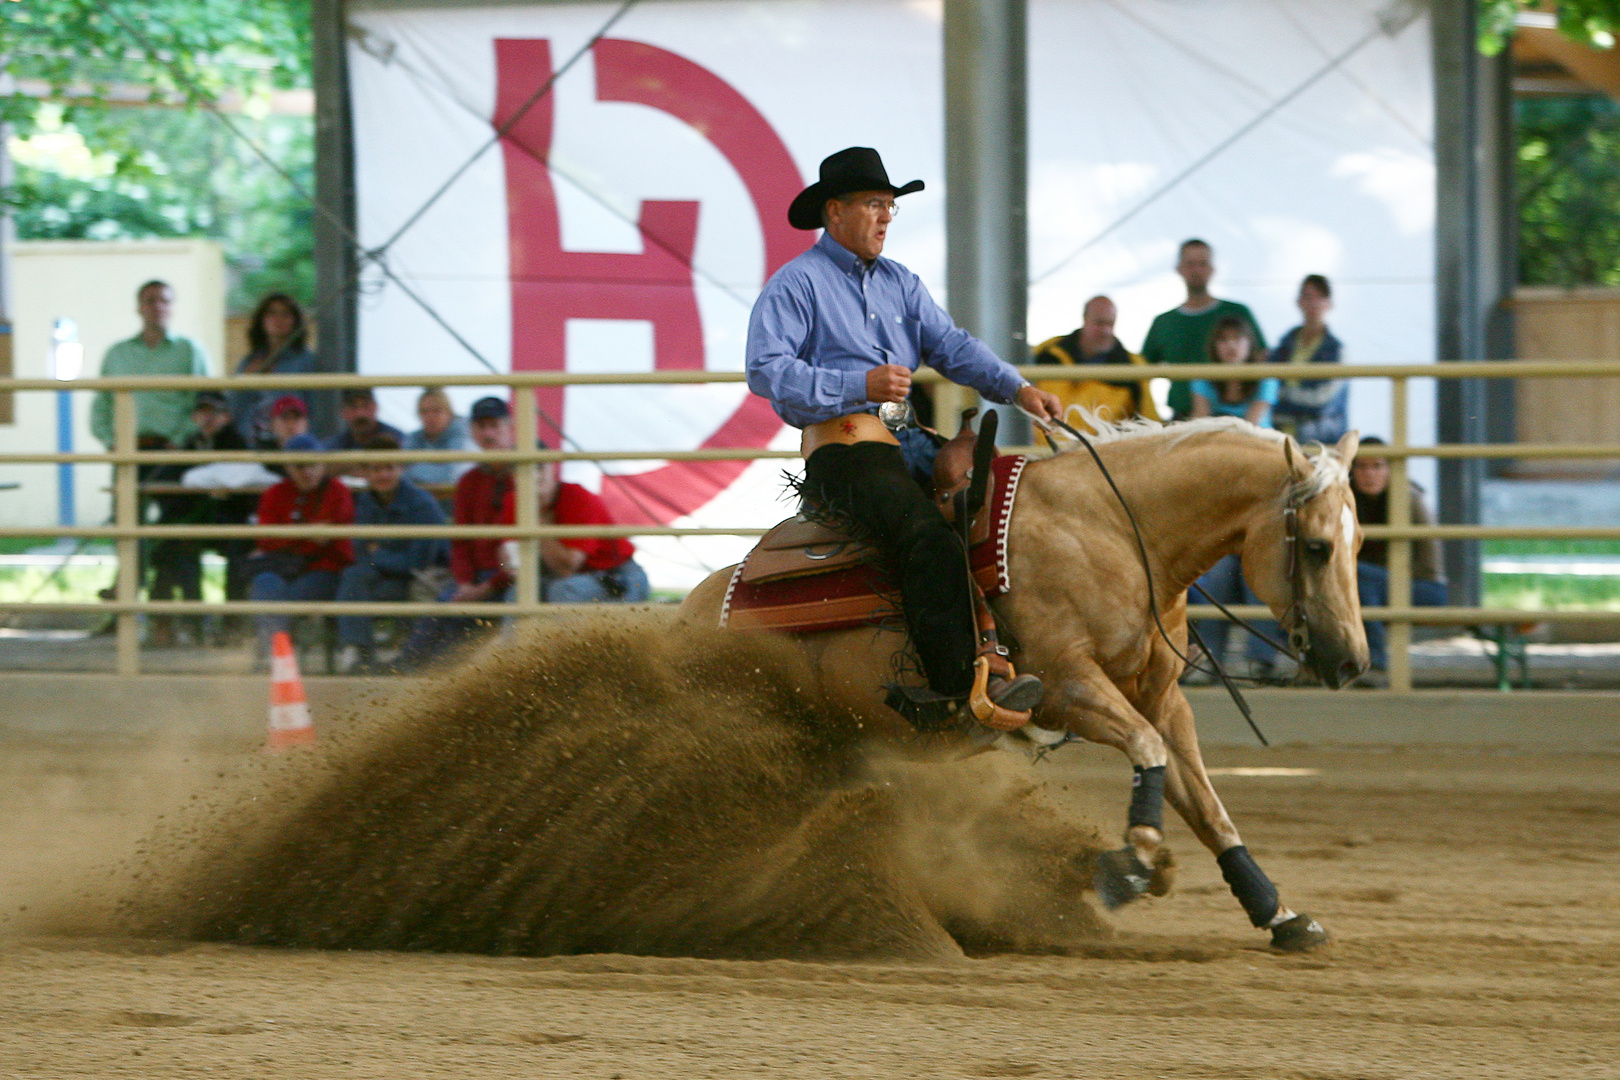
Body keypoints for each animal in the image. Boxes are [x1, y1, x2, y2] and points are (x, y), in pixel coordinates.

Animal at [673, 414, 1367, 945]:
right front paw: (1132, 863)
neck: (1114, 534)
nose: (1354, 663)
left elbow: (1204, 802)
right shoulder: (1066, 688)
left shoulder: (1163, 699)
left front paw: (1278, 913)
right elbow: (1147, 750)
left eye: (1360, 544)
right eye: (1318, 548)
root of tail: (693, 610)